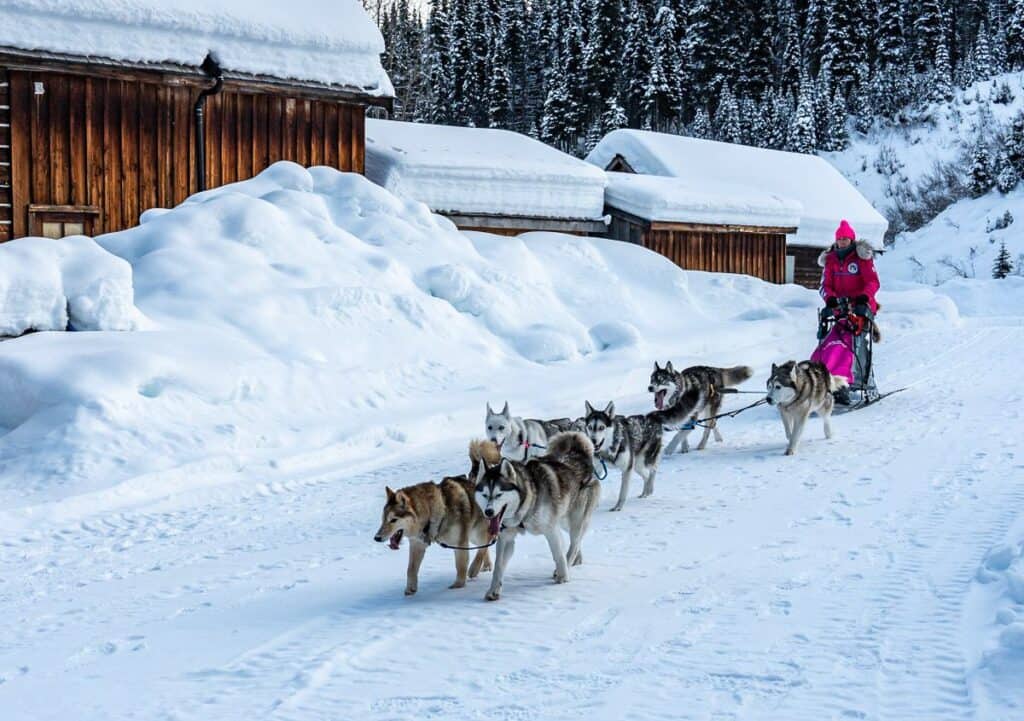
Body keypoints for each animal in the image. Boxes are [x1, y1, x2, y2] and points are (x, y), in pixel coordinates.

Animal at [378, 438, 501, 598]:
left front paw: (458, 586)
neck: (433, 512)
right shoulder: (417, 544)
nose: (376, 538)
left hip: (477, 532)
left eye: (393, 520)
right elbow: (410, 570)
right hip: (473, 535)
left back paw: (475, 568)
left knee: (485, 543)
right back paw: (486, 566)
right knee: (485, 546)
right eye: (383, 519)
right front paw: (410, 589)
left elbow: (460, 566)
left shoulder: (460, 543)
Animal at [471, 430, 598, 598]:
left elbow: (558, 554)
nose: (489, 512)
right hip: (564, 520)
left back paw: (567, 563)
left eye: (498, 495)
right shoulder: (506, 537)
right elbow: (498, 566)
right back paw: (577, 559)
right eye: (485, 495)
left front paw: (563, 577)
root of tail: (579, 455)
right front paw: (493, 590)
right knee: (575, 541)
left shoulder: (550, 529)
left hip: (575, 518)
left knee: (575, 542)